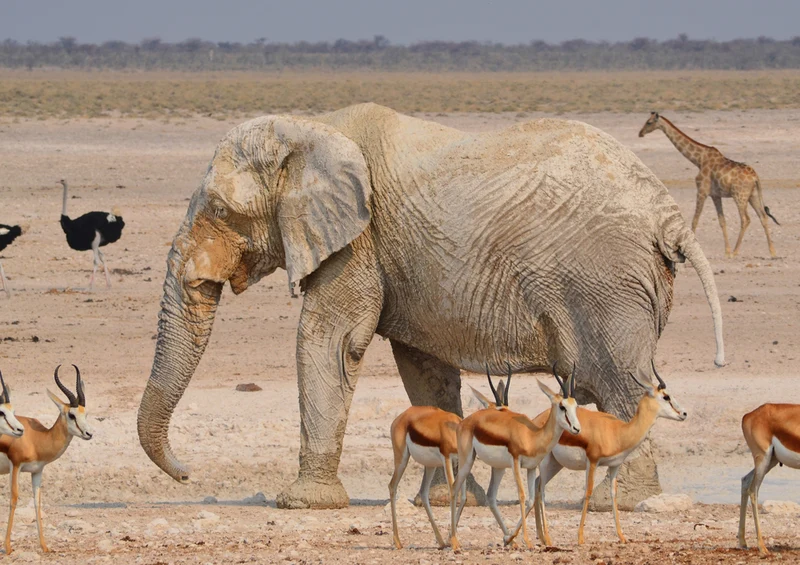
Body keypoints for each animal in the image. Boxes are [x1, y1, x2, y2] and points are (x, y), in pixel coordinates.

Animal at [137, 103, 724, 510]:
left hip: (606, 283)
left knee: (620, 381)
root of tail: (668, 214)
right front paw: (446, 500)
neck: (311, 128)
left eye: (220, 210)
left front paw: (302, 503)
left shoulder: (359, 240)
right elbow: (422, 367)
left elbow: (330, 341)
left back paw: (618, 502)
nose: (187, 474)